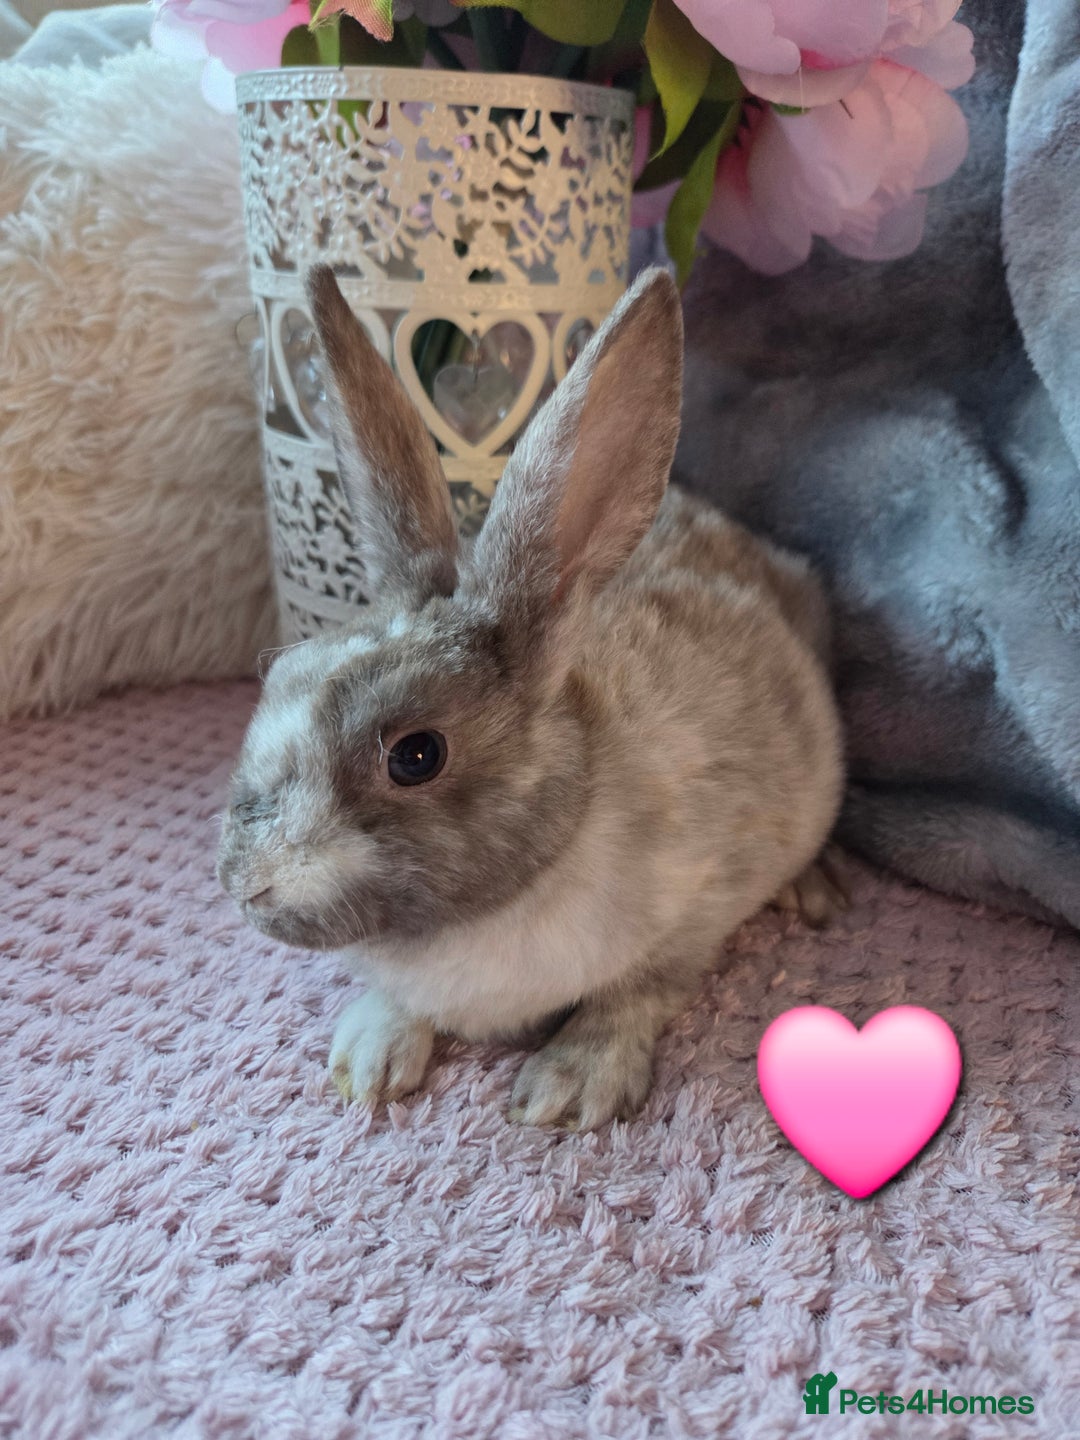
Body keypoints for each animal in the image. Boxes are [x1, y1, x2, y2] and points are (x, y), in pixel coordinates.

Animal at [216, 263, 845, 1131]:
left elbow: (638, 994)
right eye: (280, 678)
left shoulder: (691, 920)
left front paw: (568, 1088)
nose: (244, 881)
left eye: (417, 755)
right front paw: (369, 1062)